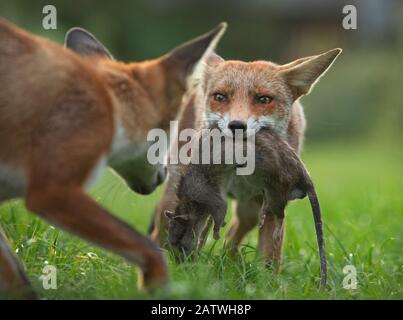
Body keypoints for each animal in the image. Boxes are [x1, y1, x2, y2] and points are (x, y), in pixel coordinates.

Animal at [0, 16, 227, 298]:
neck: (111, 105)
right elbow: (148, 247)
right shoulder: (52, 192)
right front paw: (159, 287)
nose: (165, 176)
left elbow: (19, 282)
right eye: (171, 133)